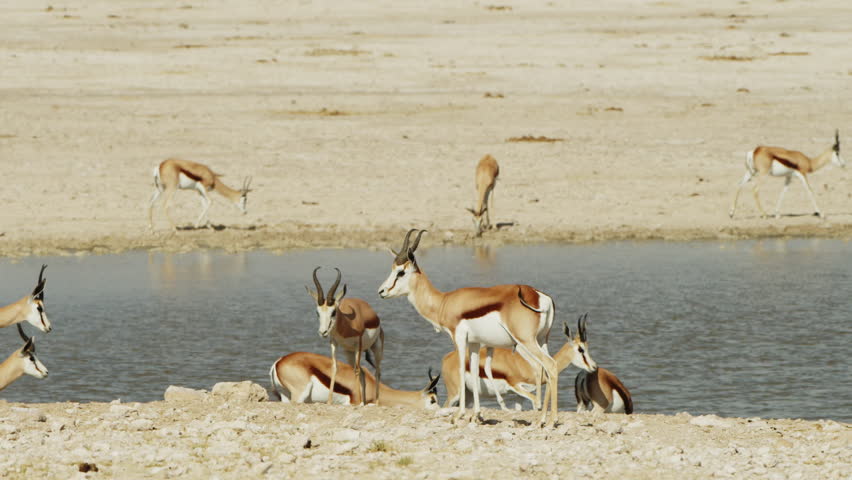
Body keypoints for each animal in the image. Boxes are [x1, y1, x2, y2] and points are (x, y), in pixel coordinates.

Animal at [306, 267, 384, 406]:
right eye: (317, 312)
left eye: (333, 312)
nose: (323, 332)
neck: (347, 323)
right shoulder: (334, 343)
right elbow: (334, 368)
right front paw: (329, 401)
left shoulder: (358, 344)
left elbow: (356, 370)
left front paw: (359, 403)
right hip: (349, 353)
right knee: (363, 372)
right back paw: (364, 401)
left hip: (376, 348)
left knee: (377, 371)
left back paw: (375, 403)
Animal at [378, 229, 575, 427]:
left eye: (401, 272)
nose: (381, 291)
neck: (444, 302)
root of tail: (540, 297)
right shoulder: (474, 343)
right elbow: (472, 371)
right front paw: (476, 415)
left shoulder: (458, 338)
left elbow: (461, 370)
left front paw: (459, 415)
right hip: (542, 340)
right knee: (547, 369)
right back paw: (542, 420)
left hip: (526, 341)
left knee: (550, 365)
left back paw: (551, 420)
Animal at [442, 315, 596, 410]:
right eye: (580, 349)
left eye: (587, 347)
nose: (594, 366)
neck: (529, 367)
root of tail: (447, 358)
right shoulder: (516, 387)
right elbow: (536, 403)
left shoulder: (519, 395)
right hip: (455, 394)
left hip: (467, 395)